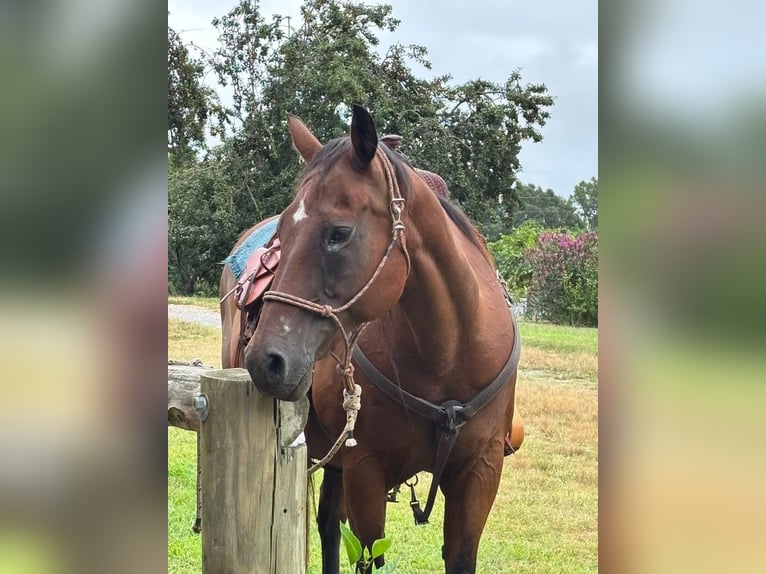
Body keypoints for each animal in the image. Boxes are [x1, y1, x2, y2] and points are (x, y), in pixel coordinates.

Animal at [222, 105, 522, 574]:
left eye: (339, 233)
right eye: (284, 232)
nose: (266, 360)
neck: (449, 354)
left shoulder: (481, 472)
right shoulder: (365, 468)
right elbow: (369, 555)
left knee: (328, 523)